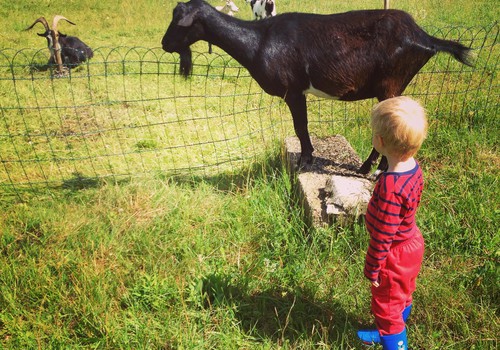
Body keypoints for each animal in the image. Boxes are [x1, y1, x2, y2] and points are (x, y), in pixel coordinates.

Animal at [161, 0, 472, 174]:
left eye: (179, 21)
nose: (165, 44)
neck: (259, 39)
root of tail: (424, 37)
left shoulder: (293, 90)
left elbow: (301, 127)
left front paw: (305, 160)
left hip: (390, 85)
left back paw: (371, 169)